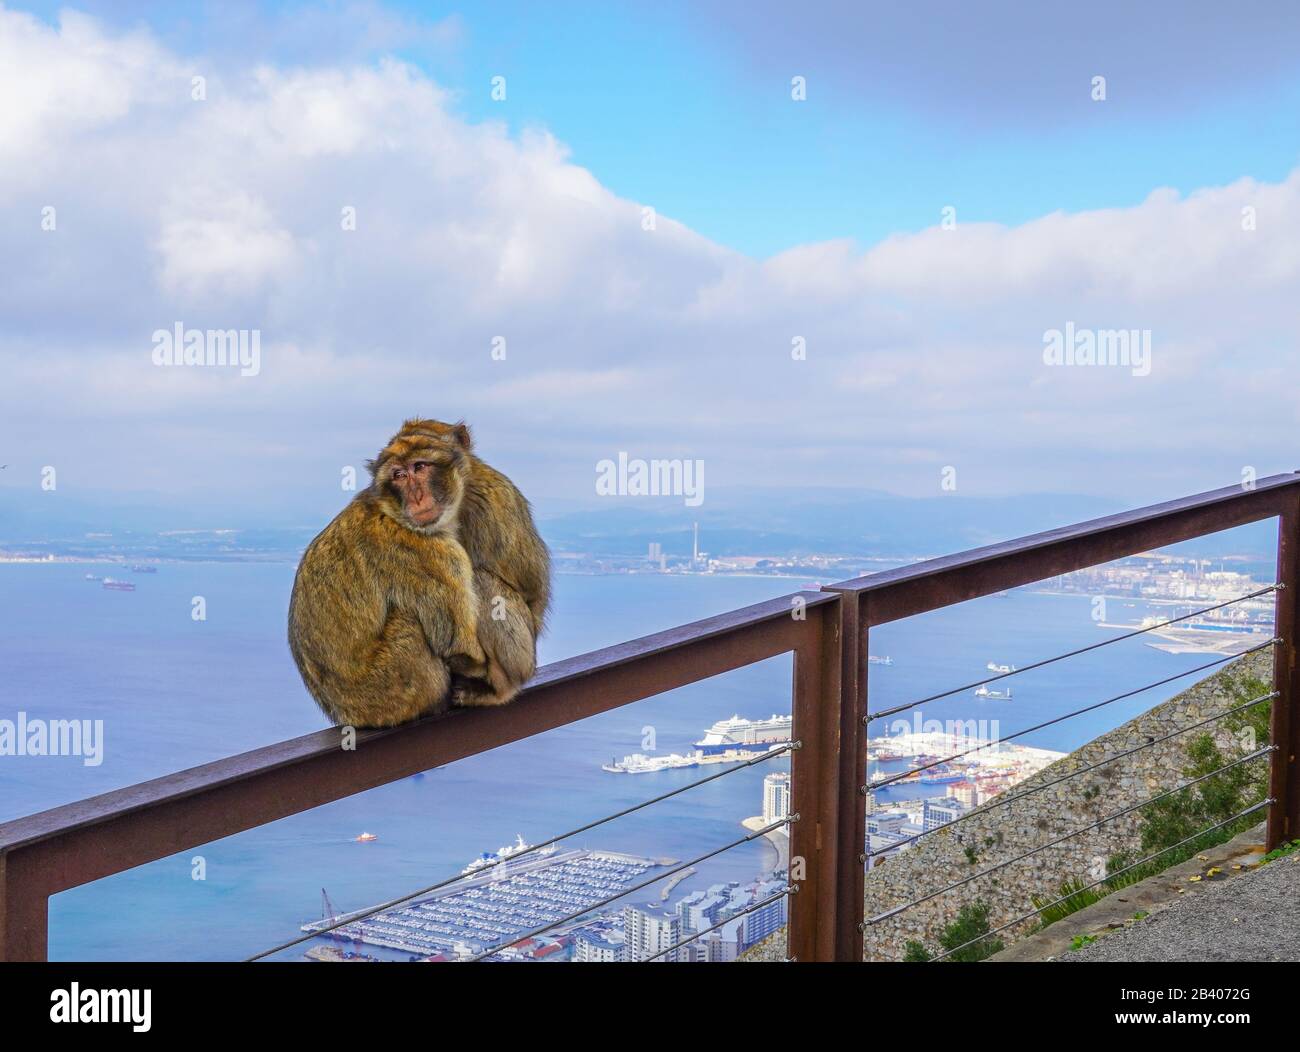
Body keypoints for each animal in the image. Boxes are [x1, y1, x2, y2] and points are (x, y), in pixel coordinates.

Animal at [287, 427, 490, 728]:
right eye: (399, 475)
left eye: (420, 467)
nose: (416, 496)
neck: (392, 513)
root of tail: (348, 716)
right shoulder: (434, 555)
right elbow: (461, 649)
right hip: (388, 689)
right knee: (409, 623)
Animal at [380, 419, 551, 707]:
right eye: (400, 474)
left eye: (420, 466)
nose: (415, 496)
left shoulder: (489, 503)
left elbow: (530, 588)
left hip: (522, 659)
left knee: (482, 582)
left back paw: (498, 689)